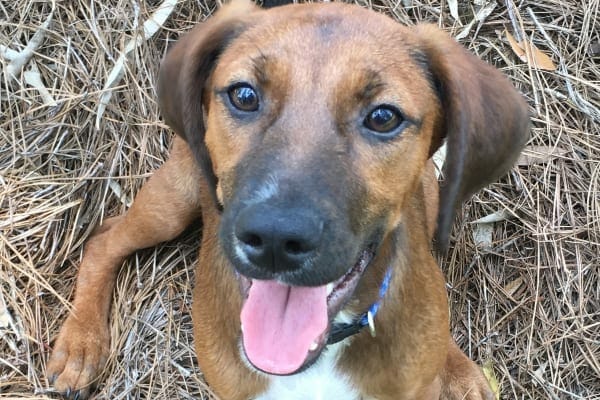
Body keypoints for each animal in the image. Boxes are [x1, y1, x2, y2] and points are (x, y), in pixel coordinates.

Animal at [47, 1, 528, 398]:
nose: (276, 239)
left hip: (428, 192)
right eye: (244, 95)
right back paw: (80, 344)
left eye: (383, 117)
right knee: (104, 239)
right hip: (174, 199)